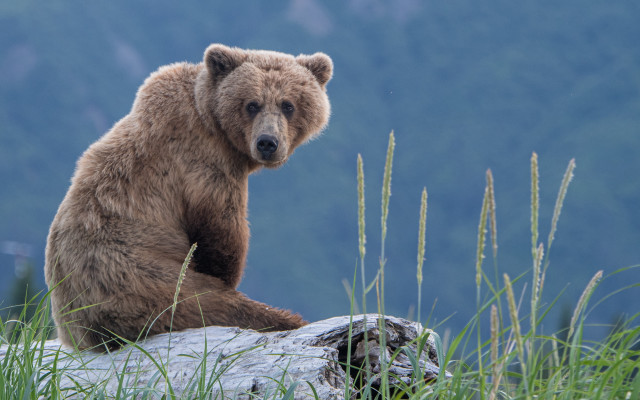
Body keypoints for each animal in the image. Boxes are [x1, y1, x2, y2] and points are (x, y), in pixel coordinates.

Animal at [44, 44, 332, 350]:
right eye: (252, 104)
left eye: (288, 105)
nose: (267, 142)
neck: (212, 120)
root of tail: (77, 334)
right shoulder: (202, 162)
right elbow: (221, 231)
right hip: (137, 278)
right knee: (210, 304)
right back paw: (288, 318)